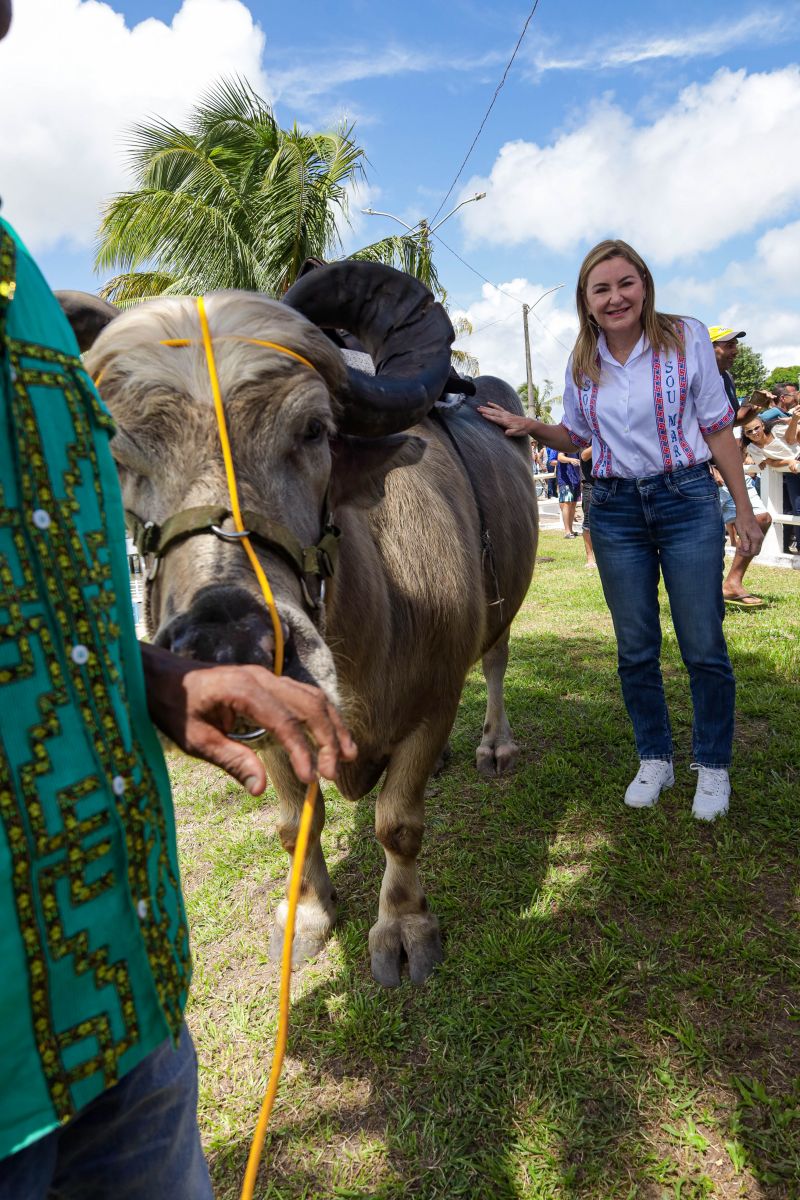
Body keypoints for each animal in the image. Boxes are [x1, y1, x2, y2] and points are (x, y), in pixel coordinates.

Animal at [59, 267, 537, 988]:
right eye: (112, 454)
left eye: (313, 430)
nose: (228, 646)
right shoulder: (270, 734)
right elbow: (293, 826)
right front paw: (309, 912)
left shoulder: (433, 701)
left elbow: (398, 824)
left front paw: (403, 928)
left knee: (498, 663)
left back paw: (494, 745)